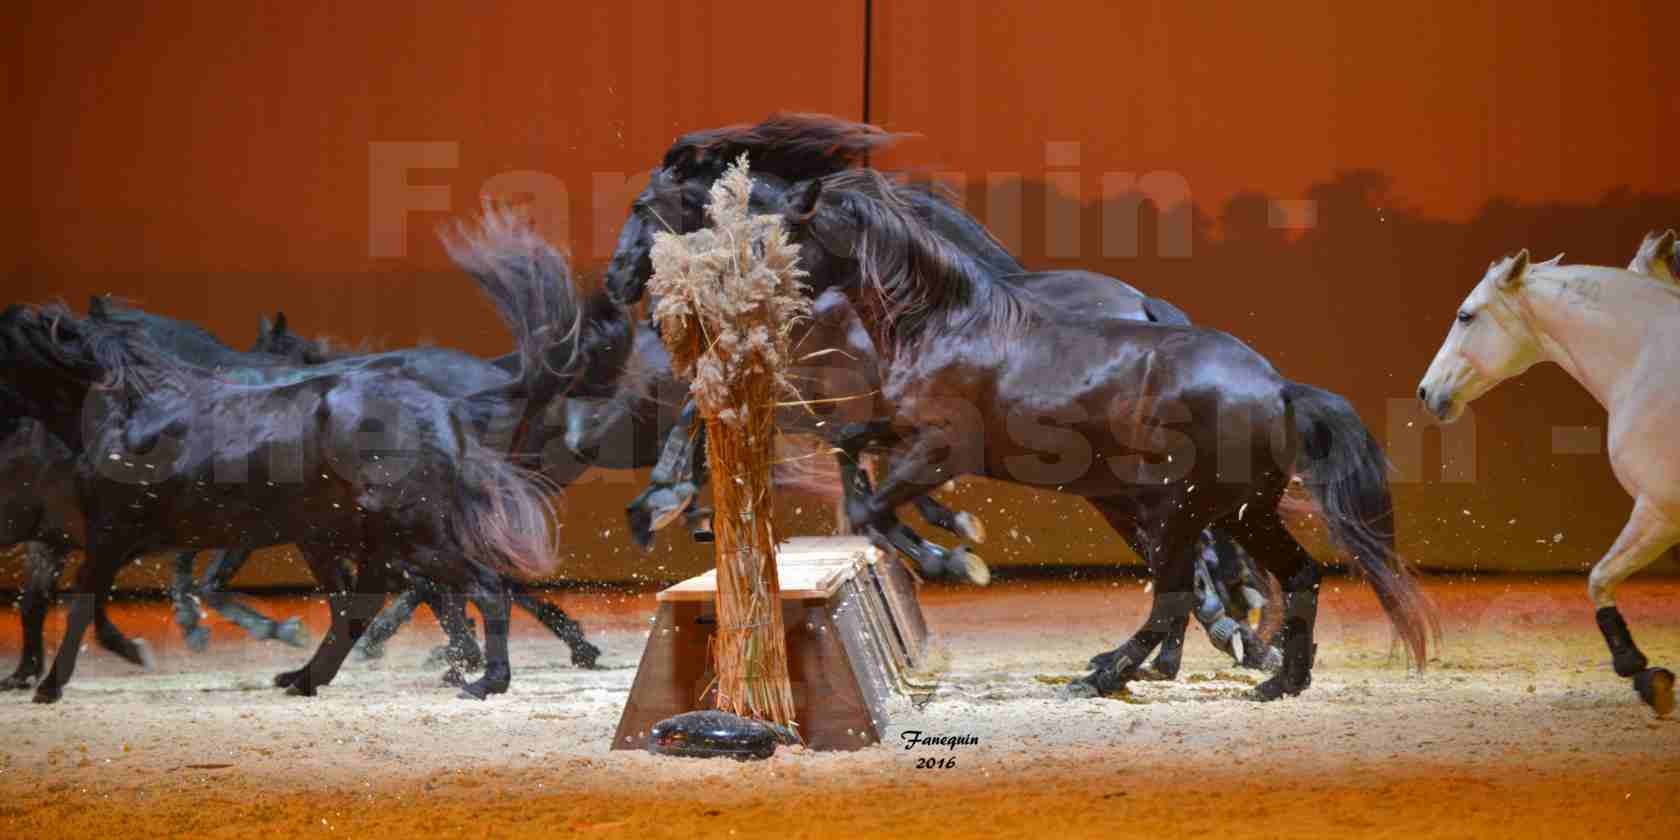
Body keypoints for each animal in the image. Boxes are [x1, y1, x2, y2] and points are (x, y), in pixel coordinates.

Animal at [762, 172, 1431, 702]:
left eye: (783, 235)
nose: (765, 307)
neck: (947, 322)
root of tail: (1278, 386)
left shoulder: (939, 450)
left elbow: (871, 507)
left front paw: (950, 559)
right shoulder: (898, 429)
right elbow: (851, 449)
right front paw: (948, 547)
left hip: (1178, 512)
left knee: (1176, 595)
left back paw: (1111, 673)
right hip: (1243, 512)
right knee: (1296, 576)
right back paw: (1278, 680)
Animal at [1417, 243, 1680, 715]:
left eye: (1465, 315)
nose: (1427, 392)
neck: (1645, 359)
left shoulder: (1659, 511)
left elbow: (1599, 578)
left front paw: (1640, 671)